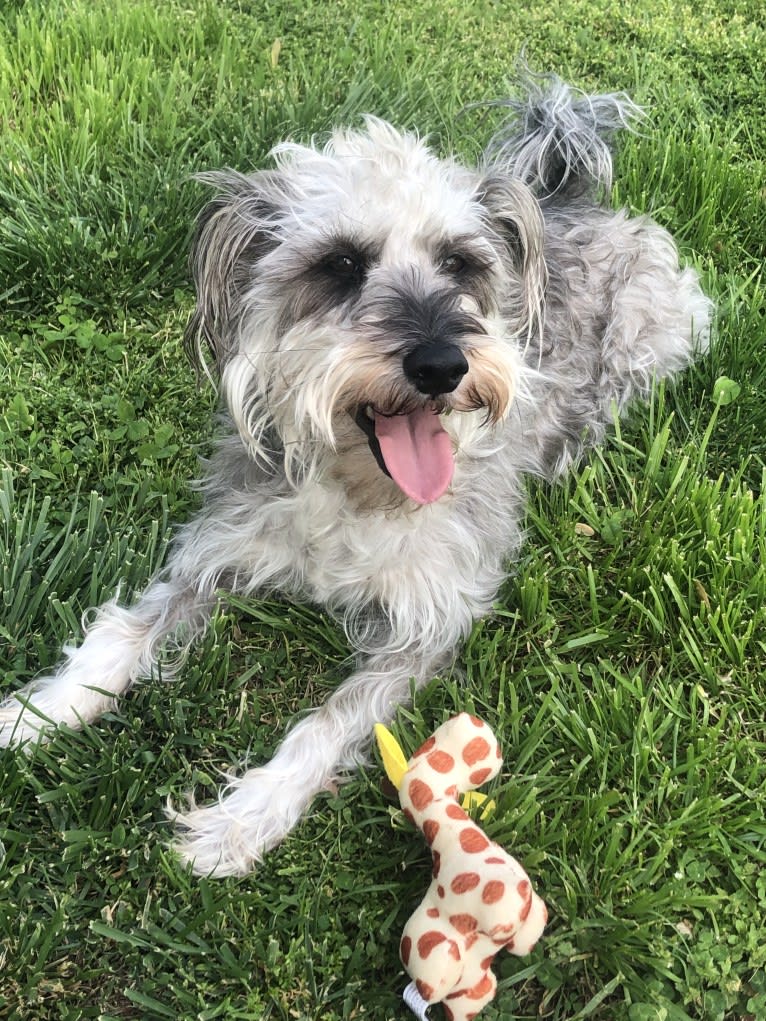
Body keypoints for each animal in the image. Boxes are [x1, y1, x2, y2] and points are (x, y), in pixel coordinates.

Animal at [0, 71, 714, 873]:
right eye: (340, 265)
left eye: (460, 263)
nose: (442, 364)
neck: (357, 492)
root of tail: (573, 200)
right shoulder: (217, 552)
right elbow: (123, 632)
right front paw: (40, 711)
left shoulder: (428, 626)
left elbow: (327, 723)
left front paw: (240, 821)